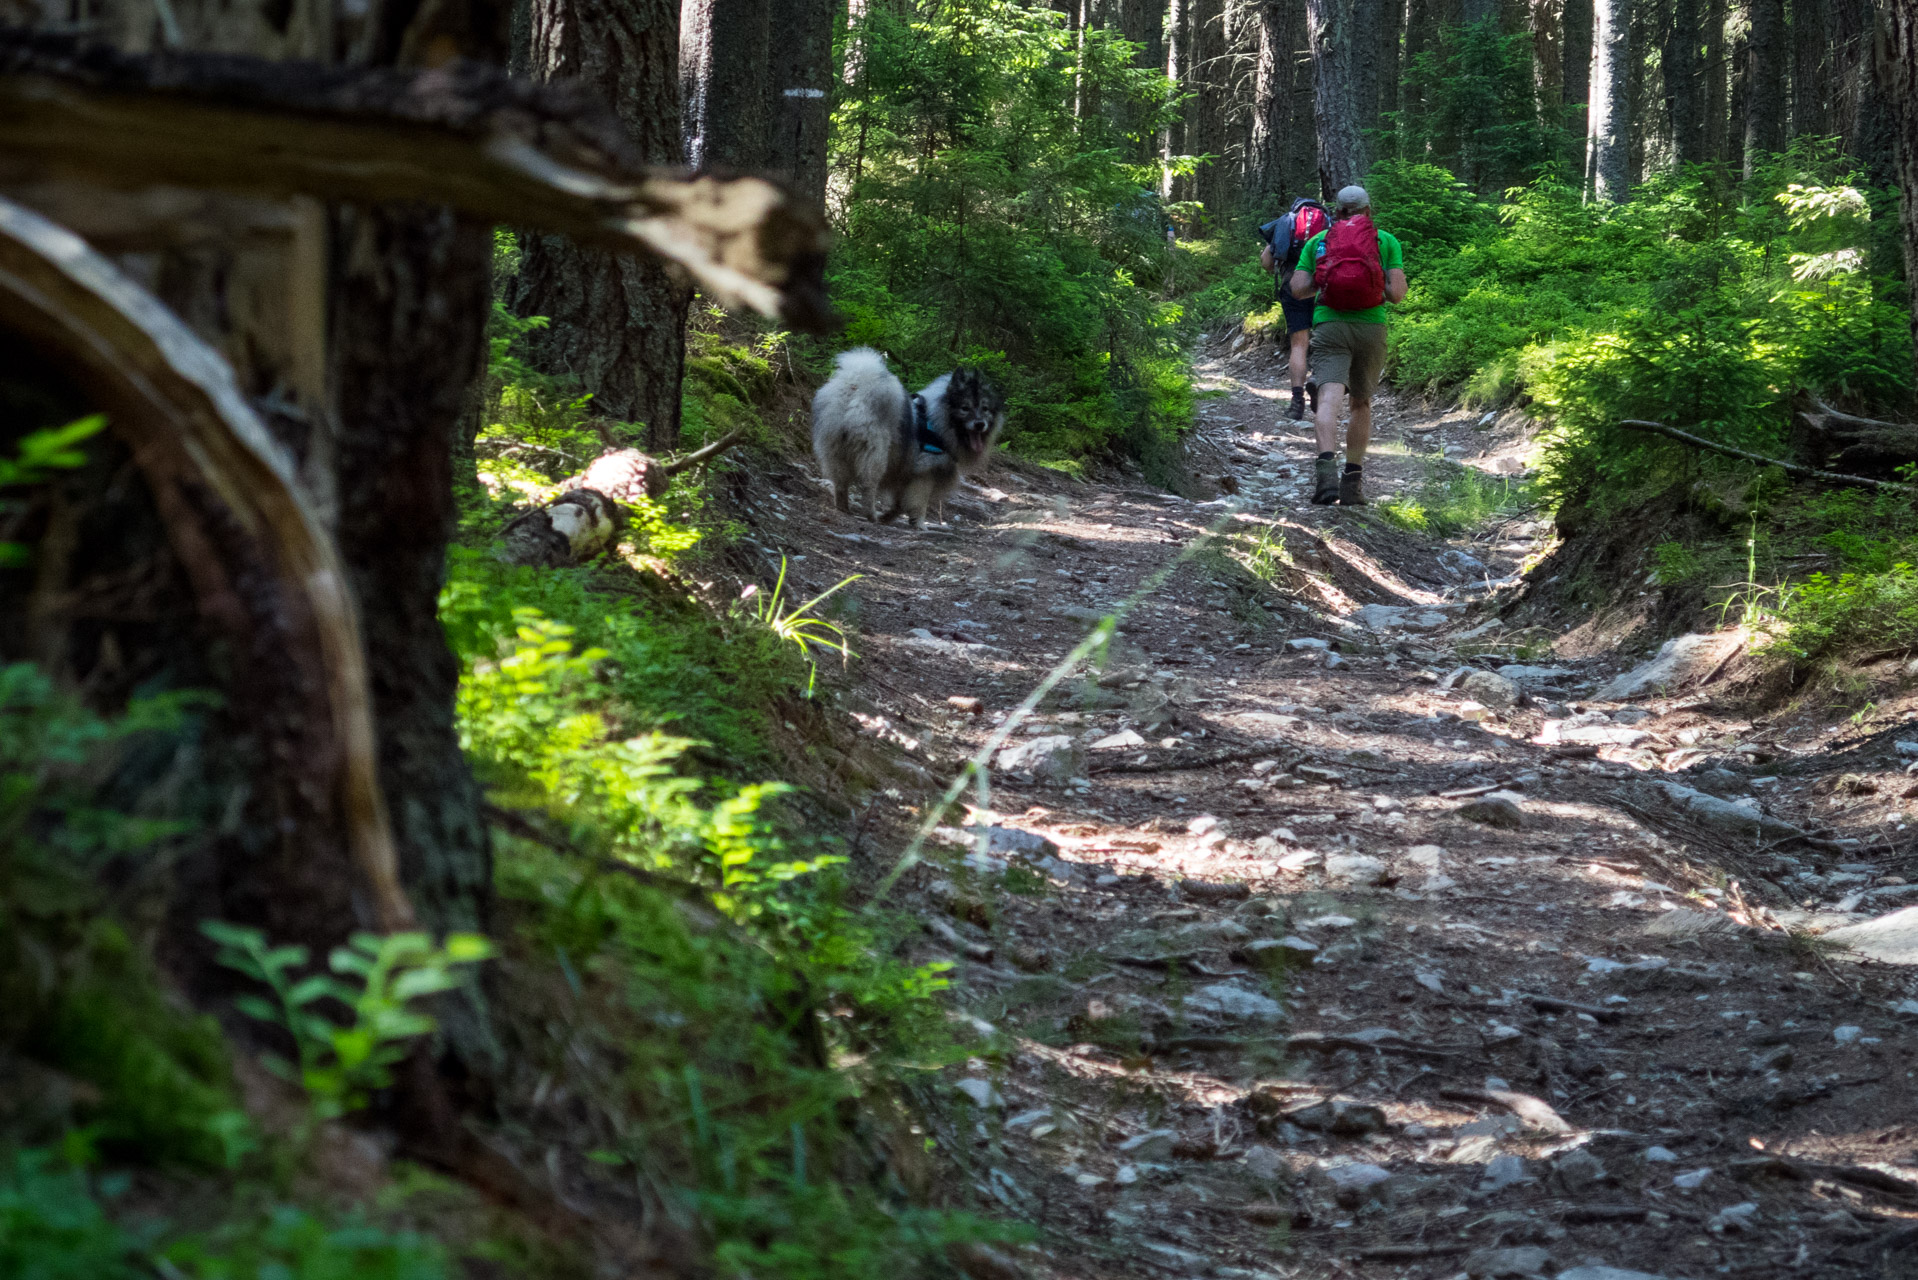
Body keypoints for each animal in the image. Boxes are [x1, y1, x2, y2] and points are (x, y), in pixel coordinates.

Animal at [805, 347, 1005, 529]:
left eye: (985, 409)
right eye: (965, 408)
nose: (980, 424)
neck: (939, 419)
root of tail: (855, 390)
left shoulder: (906, 476)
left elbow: (900, 504)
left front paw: (889, 517)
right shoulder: (924, 473)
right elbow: (918, 504)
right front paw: (919, 525)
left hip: (836, 452)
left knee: (840, 483)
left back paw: (843, 507)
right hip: (876, 456)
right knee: (868, 486)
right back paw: (871, 515)